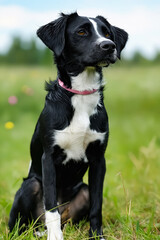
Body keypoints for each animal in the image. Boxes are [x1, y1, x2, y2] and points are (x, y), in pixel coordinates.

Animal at [9, 12, 128, 239]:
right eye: (81, 32)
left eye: (107, 33)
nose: (109, 46)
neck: (81, 93)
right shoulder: (48, 157)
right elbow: (50, 206)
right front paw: (55, 236)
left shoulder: (98, 159)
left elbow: (97, 204)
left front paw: (97, 235)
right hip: (30, 185)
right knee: (23, 221)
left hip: (83, 190)